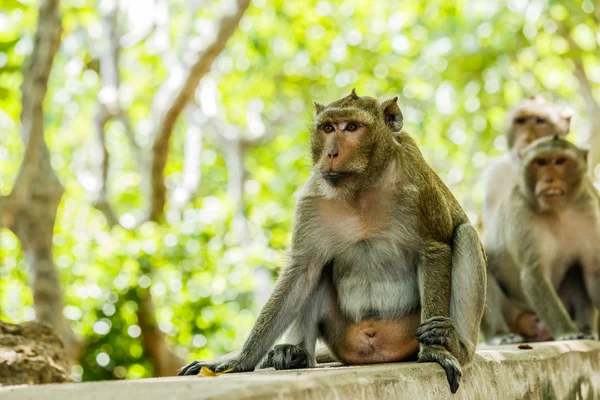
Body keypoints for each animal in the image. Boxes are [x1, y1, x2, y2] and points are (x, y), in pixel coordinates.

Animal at [177, 89, 488, 392]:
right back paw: (298, 353)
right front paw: (238, 361)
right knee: (316, 272)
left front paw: (436, 352)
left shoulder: (419, 191)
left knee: (466, 236)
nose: (331, 153)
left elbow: (435, 249)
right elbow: (301, 270)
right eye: (327, 128)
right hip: (340, 334)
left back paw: (455, 344)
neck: (362, 188)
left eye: (351, 127)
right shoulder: (312, 199)